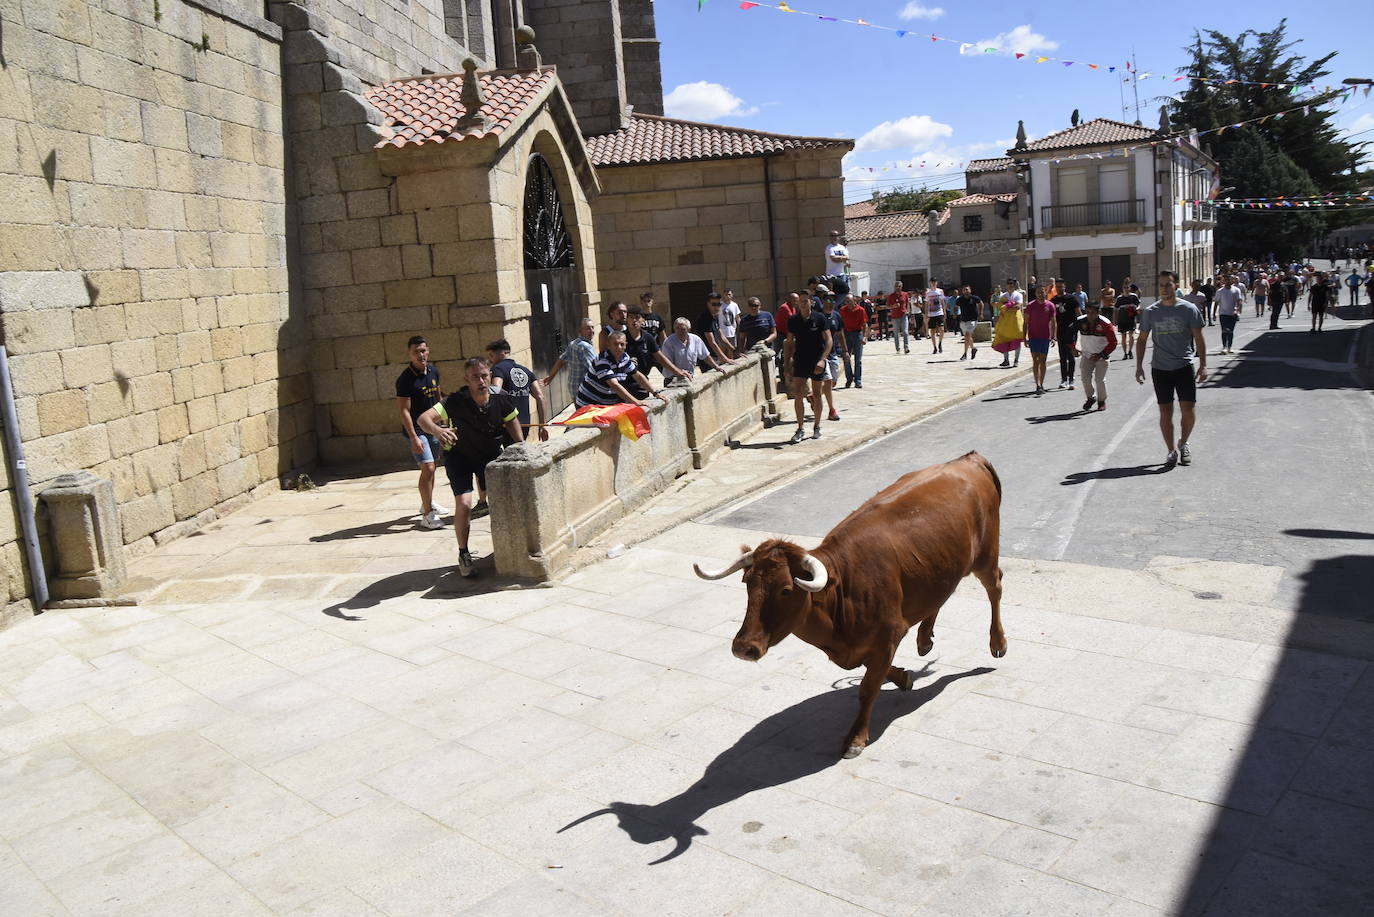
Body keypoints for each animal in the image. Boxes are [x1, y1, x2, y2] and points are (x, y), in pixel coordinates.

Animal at [692, 450, 1005, 758]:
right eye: (747, 583)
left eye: (785, 590)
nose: (744, 648)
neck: (841, 592)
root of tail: (968, 460)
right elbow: (878, 673)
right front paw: (904, 678)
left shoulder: (888, 634)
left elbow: (868, 687)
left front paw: (856, 738)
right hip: (942, 565)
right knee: (943, 593)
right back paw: (924, 639)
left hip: (986, 554)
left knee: (995, 587)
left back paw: (997, 643)